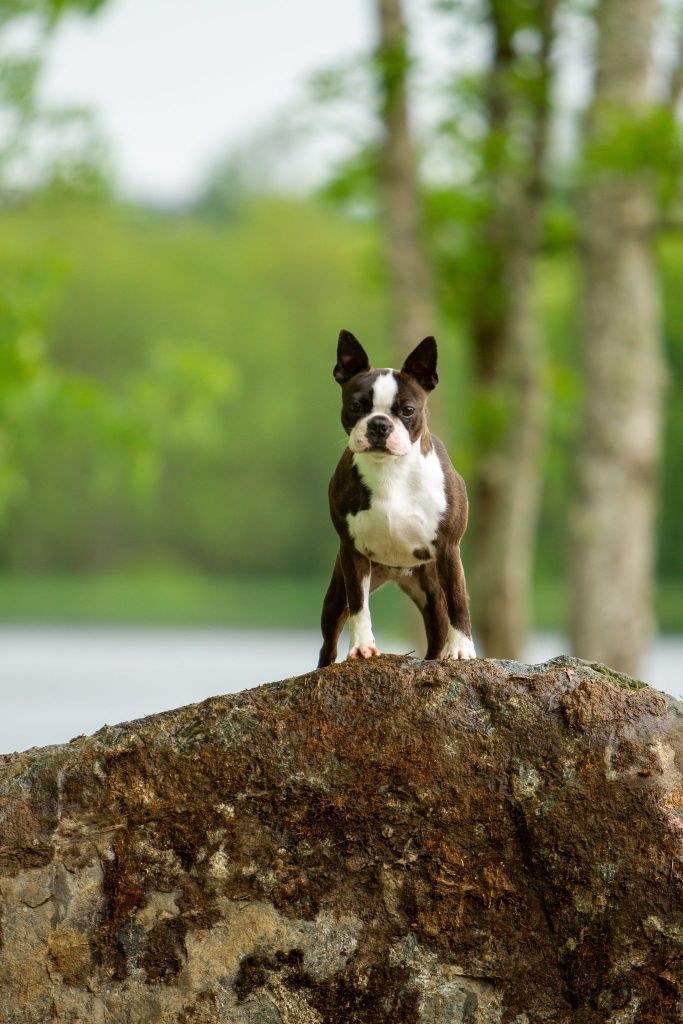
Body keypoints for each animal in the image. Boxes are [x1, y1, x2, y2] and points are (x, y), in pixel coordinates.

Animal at [317, 327, 473, 663]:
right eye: (356, 406)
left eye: (408, 410)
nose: (379, 424)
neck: (390, 470)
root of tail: (394, 572)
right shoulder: (352, 551)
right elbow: (359, 607)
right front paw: (362, 647)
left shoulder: (449, 548)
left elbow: (459, 599)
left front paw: (462, 649)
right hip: (337, 593)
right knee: (329, 641)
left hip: (431, 591)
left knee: (438, 630)